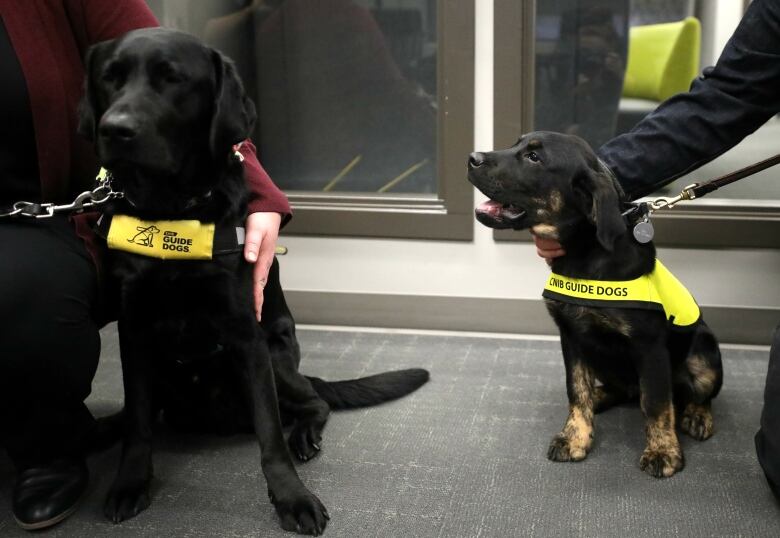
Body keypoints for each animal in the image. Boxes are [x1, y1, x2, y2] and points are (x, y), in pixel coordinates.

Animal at [78, 28, 430, 532]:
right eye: (110, 77)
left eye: (173, 78)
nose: (114, 128)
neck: (170, 213)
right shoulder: (134, 331)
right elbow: (139, 422)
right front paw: (129, 482)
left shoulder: (248, 337)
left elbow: (270, 436)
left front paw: (292, 498)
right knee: (144, 412)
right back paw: (104, 427)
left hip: (279, 360)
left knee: (314, 403)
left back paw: (304, 434)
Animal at [466, 132, 724, 476]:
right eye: (516, 144)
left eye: (534, 158)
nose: (471, 158)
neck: (583, 256)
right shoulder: (572, 337)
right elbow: (576, 390)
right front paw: (575, 437)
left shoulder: (650, 347)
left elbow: (656, 403)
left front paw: (663, 450)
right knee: (622, 390)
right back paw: (600, 396)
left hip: (704, 352)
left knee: (698, 394)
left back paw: (697, 415)